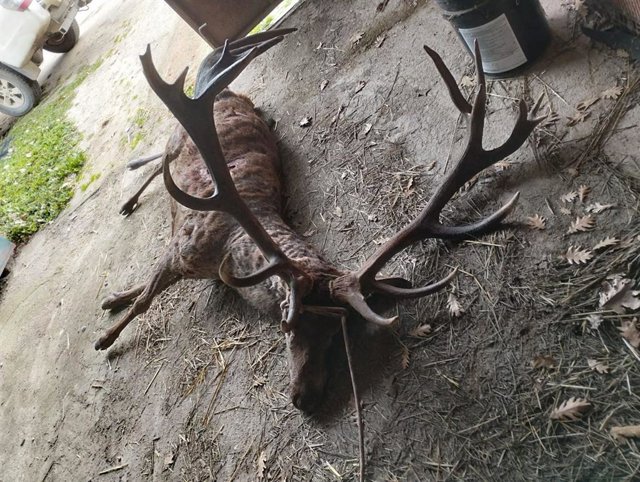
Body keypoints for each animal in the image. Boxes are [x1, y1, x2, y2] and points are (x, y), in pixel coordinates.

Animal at [96, 29, 543, 415]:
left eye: (334, 338)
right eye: (288, 327)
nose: (304, 400)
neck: (231, 252)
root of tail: (224, 90)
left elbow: (145, 288)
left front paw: (114, 300)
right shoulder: (182, 251)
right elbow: (145, 299)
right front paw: (106, 337)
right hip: (177, 142)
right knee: (161, 158)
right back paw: (129, 196)